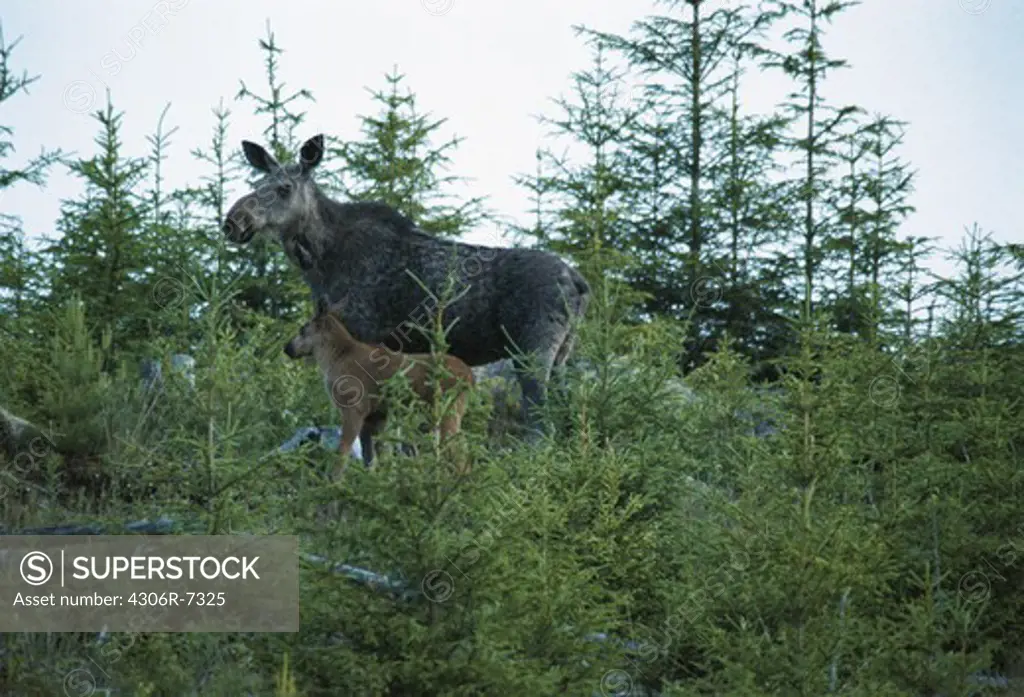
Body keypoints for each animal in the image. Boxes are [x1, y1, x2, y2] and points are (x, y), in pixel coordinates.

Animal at [222, 133, 593, 442]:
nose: (233, 221)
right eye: (258, 182)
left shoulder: (364, 331)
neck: (320, 263)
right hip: (562, 353)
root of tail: (579, 282)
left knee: (540, 424)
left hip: (532, 350)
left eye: (284, 188)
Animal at [284, 292, 475, 478]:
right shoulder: (377, 415)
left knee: (460, 455)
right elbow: (375, 458)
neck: (333, 358)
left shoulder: (355, 408)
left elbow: (343, 452)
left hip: (448, 408)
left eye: (302, 329)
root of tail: (470, 377)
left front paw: (333, 482)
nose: (287, 348)